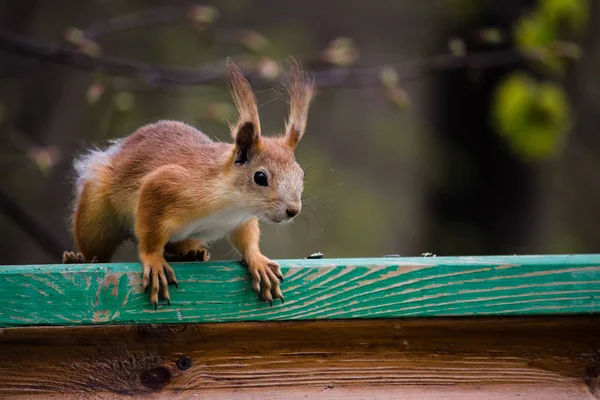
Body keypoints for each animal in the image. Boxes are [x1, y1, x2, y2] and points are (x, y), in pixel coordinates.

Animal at [62, 58, 314, 310]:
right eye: (260, 177)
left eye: (301, 175)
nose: (293, 210)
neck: (230, 204)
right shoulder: (163, 185)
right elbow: (149, 233)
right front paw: (154, 260)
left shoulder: (242, 220)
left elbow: (246, 240)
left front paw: (258, 261)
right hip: (95, 216)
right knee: (97, 248)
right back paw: (77, 258)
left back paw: (190, 254)